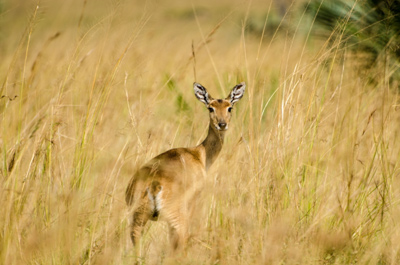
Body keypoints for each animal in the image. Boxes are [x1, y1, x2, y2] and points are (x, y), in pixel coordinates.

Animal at [125, 81, 245, 253]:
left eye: (230, 107)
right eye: (210, 108)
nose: (222, 124)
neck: (199, 154)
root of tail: (153, 185)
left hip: (138, 220)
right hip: (176, 219)